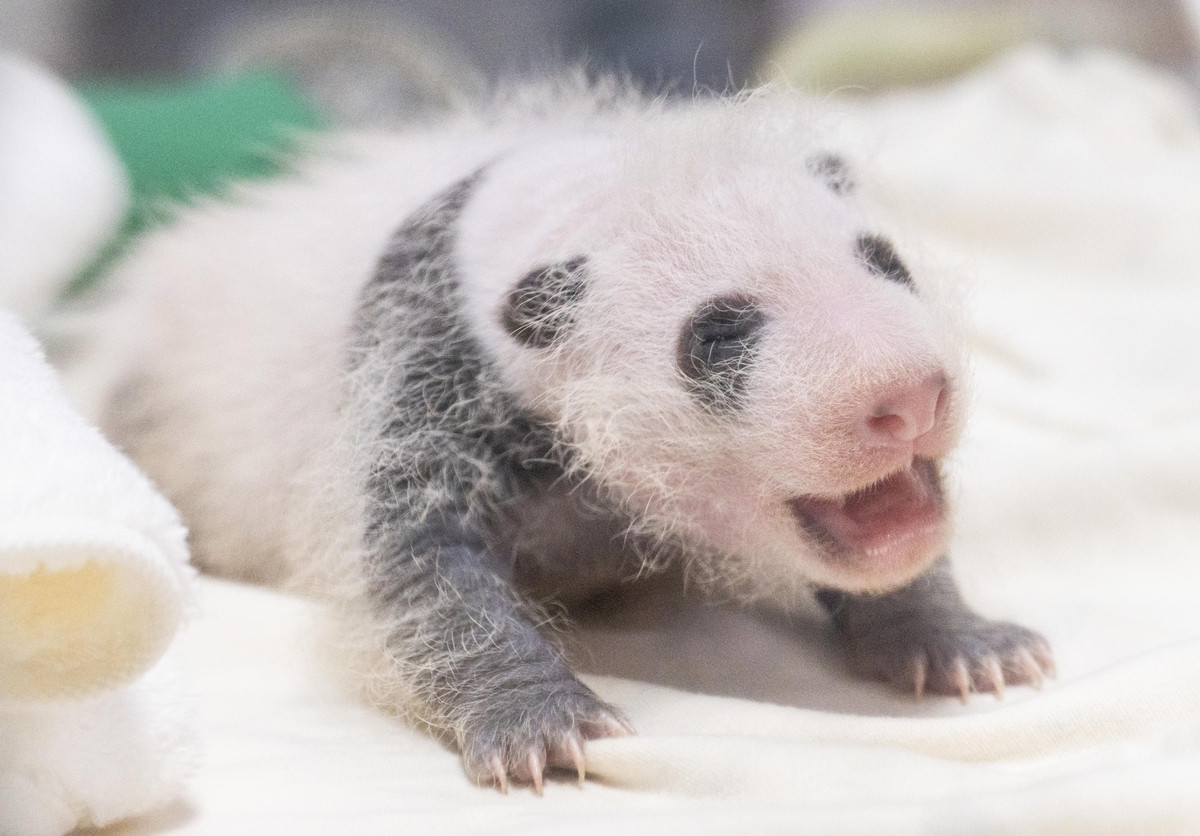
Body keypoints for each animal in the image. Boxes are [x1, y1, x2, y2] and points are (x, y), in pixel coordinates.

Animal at [79, 82, 1054, 792]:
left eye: (888, 263)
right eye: (719, 336)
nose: (909, 397)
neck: (565, 200)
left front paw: (961, 642)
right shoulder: (425, 362)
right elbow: (416, 565)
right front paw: (540, 723)